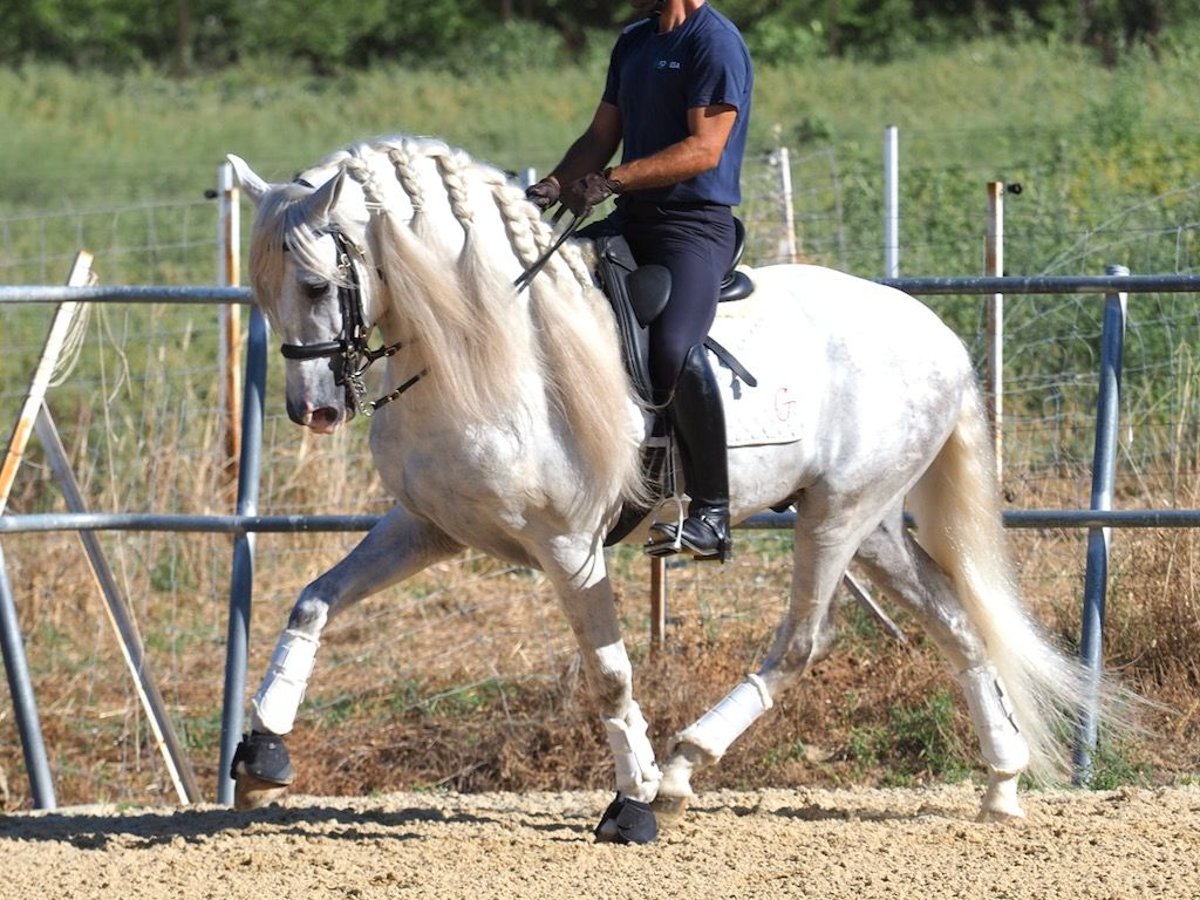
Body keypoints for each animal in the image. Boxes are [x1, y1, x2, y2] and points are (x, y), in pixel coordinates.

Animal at [225, 135, 1132, 844]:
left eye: (315, 285)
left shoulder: (570, 546)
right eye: (263, 291)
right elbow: (313, 601)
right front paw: (262, 754)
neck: (481, 347)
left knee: (803, 642)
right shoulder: (427, 525)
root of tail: (937, 333)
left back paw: (680, 768)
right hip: (870, 522)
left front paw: (629, 805)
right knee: (956, 621)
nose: (314, 410)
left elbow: (610, 675)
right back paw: (1002, 785)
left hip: (839, 517)